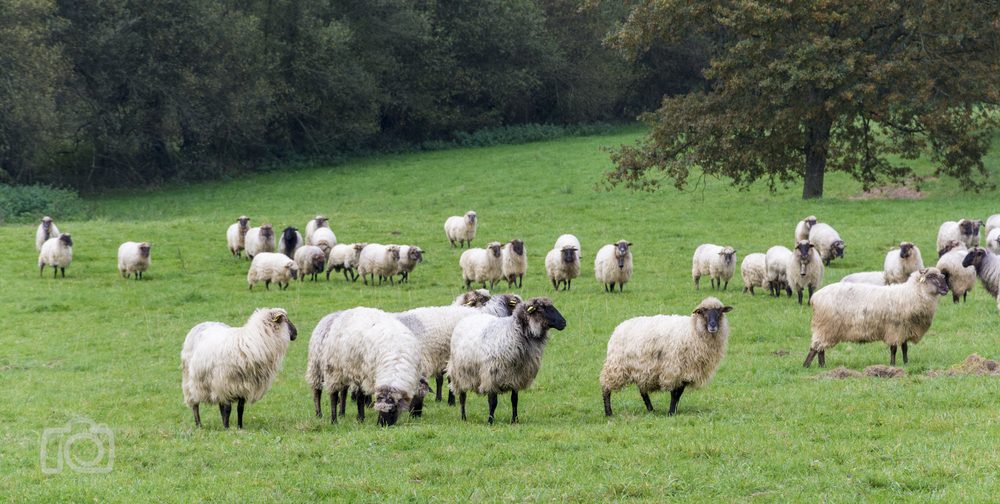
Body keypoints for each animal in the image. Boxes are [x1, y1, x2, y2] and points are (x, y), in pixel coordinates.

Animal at [600, 297, 732, 417]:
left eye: (720, 312)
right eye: (703, 312)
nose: (713, 326)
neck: (693, 330)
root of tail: (618, 328)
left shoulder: (685, 372)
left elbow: (679, 394)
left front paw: (673, 411)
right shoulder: (674, 369)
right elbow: (674, 394)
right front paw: (671, 413)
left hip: (641, 368)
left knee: (642, 390)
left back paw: (651, 410)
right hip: (616, 366)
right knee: (606, 387)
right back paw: (609, 413)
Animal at [804, 268, 949, 368]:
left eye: (942, 276)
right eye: (931, 276)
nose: (946, 289)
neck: (912, 293)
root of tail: (815, 297)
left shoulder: (905, 329)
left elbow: (905, 348)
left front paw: (906, 363)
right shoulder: (894, 329)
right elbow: (893, 349)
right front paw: (892, 365)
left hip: (826, 328)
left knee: (820, 348)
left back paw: (822, 366)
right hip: (825, 326)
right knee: (815, 347)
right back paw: (807, 365)